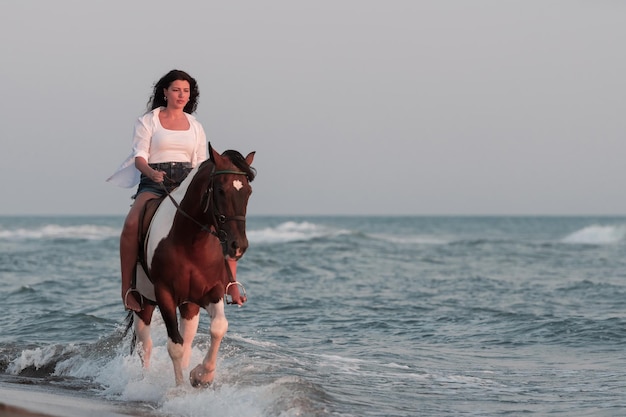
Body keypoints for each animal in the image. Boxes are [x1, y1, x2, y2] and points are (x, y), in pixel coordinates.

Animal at [124, 144, 254, 386]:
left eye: (248, 192)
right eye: (220, 190)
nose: (238, 246)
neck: (191, 243)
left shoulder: (212, 292)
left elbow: (218, 328)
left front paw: (201, 375)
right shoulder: (164, 294)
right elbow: (174, 346)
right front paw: (180, 389)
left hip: (189, 305)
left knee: (186, 341)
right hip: (143, 304)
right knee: (145, 346)